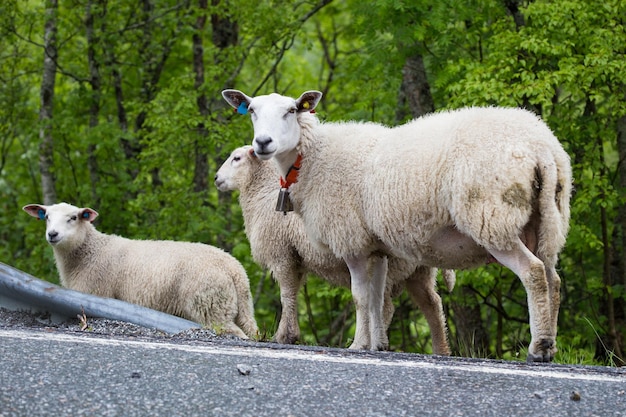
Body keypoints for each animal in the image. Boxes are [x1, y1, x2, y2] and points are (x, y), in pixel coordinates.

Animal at [21, 202, 256, 338]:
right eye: (47, 217)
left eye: (73, 217)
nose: (52, 234)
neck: (91, 251)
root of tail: (236, 270)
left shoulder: (94, 291)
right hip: (236, 308)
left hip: (209, 304)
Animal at [214, 145, 454, 352]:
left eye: (237, 158)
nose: (216, 178)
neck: (263, 193)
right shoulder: (296, 259)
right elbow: (293, 293)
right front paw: (289, 333)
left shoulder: (281, 254)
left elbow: (286, 295)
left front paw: (284, 336)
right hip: (419, 271)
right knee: (432, 304)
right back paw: (440, 349)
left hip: (392, 265)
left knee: (385, 306)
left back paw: (369, 343)